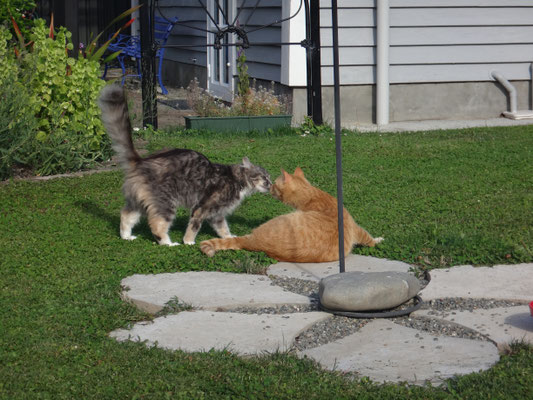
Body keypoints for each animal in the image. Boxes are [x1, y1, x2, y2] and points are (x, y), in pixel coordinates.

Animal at [97, 86, 270, 245]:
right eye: (264, 177)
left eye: (269, 177)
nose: (270, 183)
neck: (236, 179)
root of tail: (141, 160)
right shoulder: (202, 208)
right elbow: (193, 227)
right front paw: (188, 242)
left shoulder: (216, 215)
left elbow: (223, 229)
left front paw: (229, 238)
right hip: (166, 204)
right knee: (156, 225)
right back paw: (168, 243)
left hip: (138, 202)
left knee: (125, 215)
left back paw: (126, 236)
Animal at [200, 166, 382, 262]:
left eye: (274, 185)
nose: (270, 187)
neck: (312, 195)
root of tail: (254, 242)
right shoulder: (354, 227)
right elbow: (367, 237)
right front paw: (377, 240)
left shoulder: (354, 228)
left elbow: (368, 239)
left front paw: (377, 240)